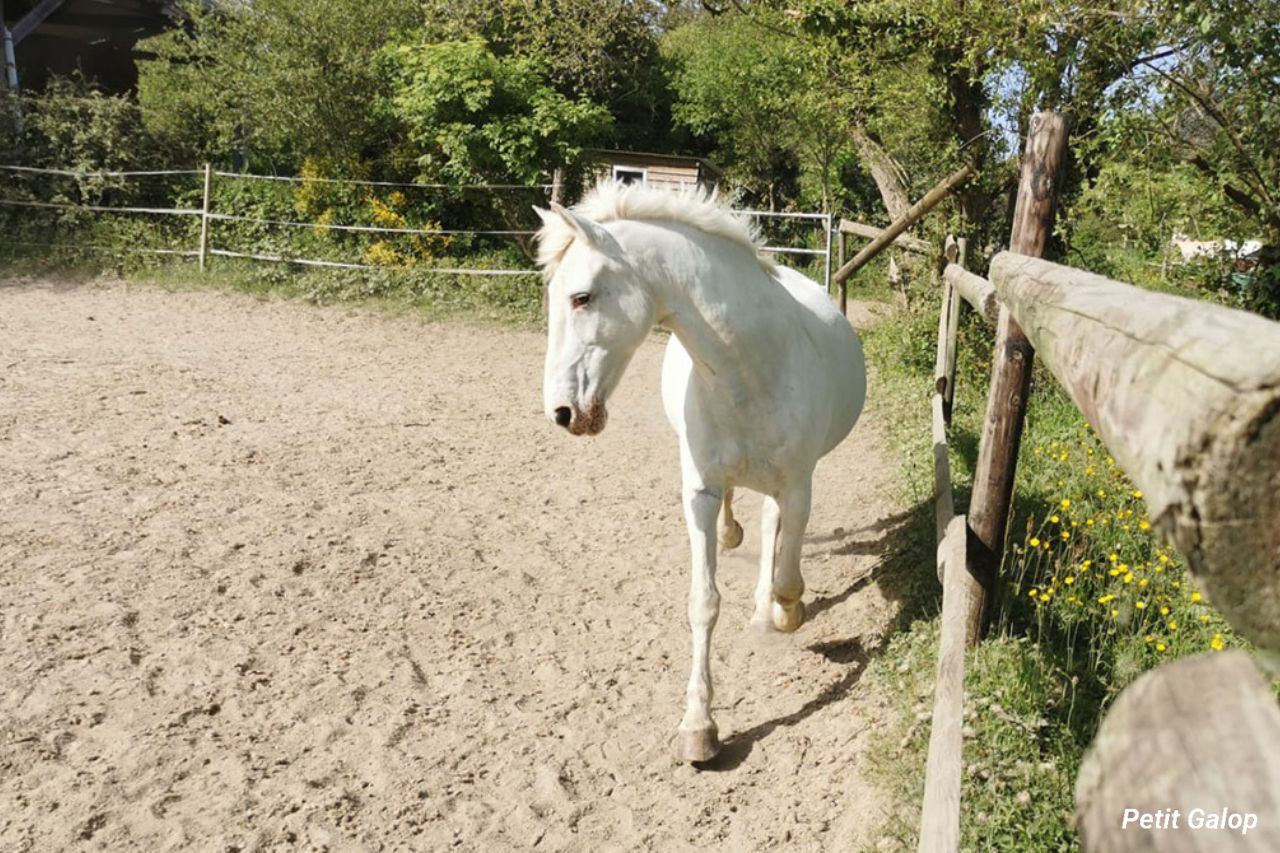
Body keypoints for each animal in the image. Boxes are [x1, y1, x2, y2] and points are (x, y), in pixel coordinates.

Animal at [535, 181, 867, 763]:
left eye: (581, 298)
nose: (562, 412)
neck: (750, 368)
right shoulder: (700, 494)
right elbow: (703, 603)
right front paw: (698, 726)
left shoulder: (799, 487)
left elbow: (786, 574)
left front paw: (787, 611)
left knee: (774, 533)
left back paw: (766, 613)